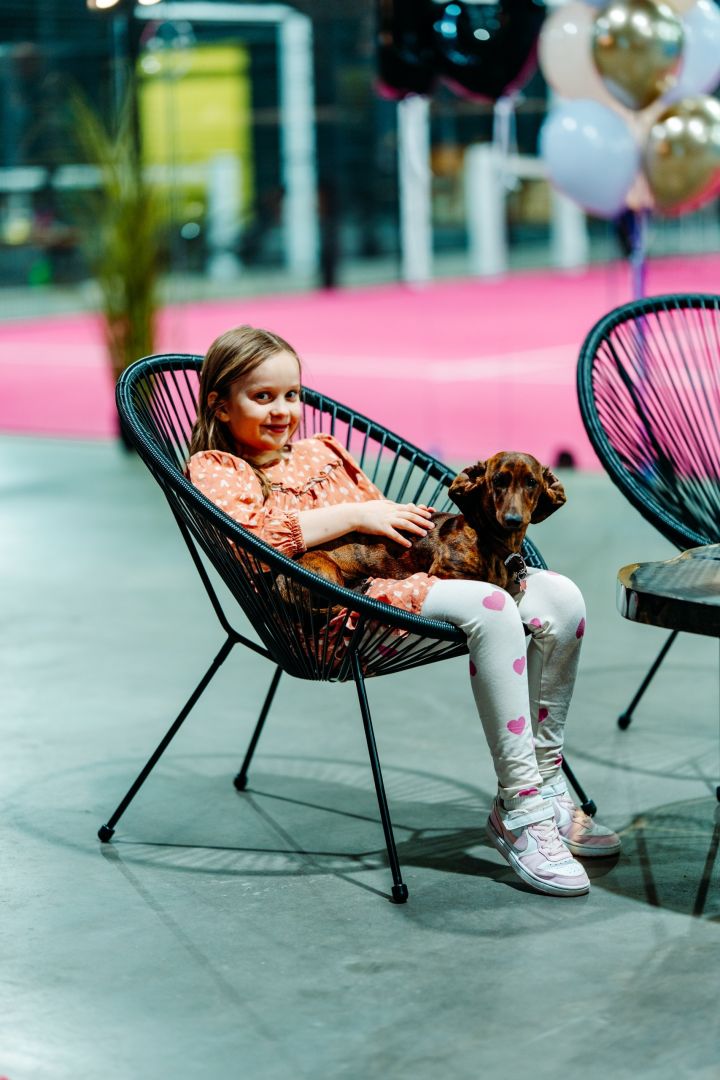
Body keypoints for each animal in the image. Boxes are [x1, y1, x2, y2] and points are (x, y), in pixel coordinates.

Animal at [294, 451, 566, 595]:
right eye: (498, 480)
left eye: (531, 482)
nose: (513, 520)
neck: (491, 541)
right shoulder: (447, 571)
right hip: (327, 571)